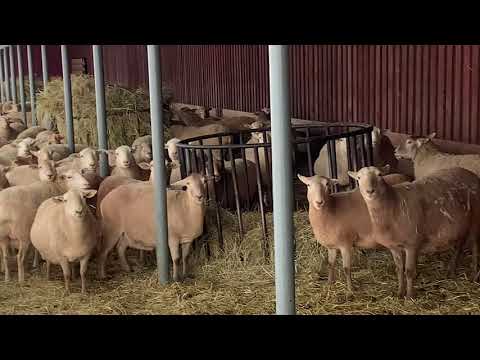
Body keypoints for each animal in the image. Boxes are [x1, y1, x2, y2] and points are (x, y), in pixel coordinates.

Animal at [348, 166, 480, 298]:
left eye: (380, 174)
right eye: (358, 178)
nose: (370, 191)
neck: (393, 204)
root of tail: (472, 174)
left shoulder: (412, 244)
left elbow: (409, 271)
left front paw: (410, 296)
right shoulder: (394, 247)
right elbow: (399, 270)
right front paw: (400, 292)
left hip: (475, 220)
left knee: (475, 247)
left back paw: (474, 275)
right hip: (461, 224)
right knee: (460, 245)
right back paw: (451, 270)